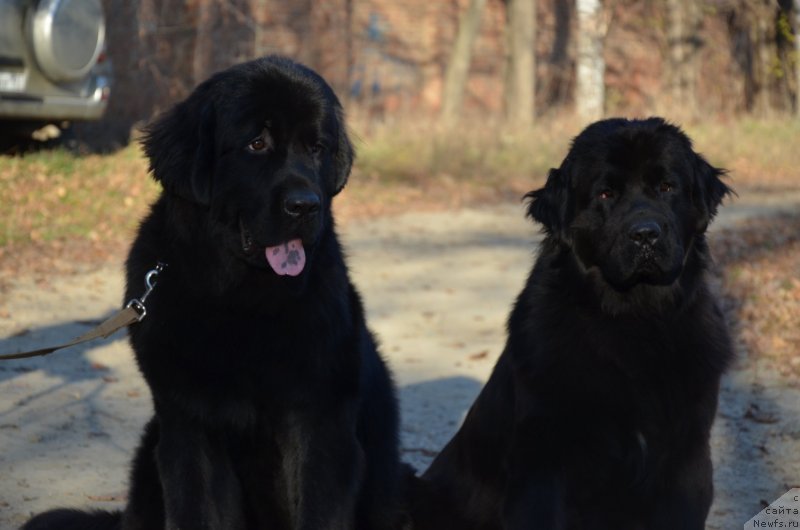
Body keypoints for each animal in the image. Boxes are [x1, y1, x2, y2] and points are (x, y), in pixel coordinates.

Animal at [23, 54, 406, 528]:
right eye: (256, 144)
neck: (239, 299)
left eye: (317, 148)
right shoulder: (188, 425)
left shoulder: (321, 426)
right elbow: (195, 509)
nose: (306, 205)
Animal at [412, 117, 736, 528]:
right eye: (605, 194)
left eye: (667, 187)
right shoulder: (543, 464)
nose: (645, 234)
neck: (632, 319)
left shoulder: (686, 458)